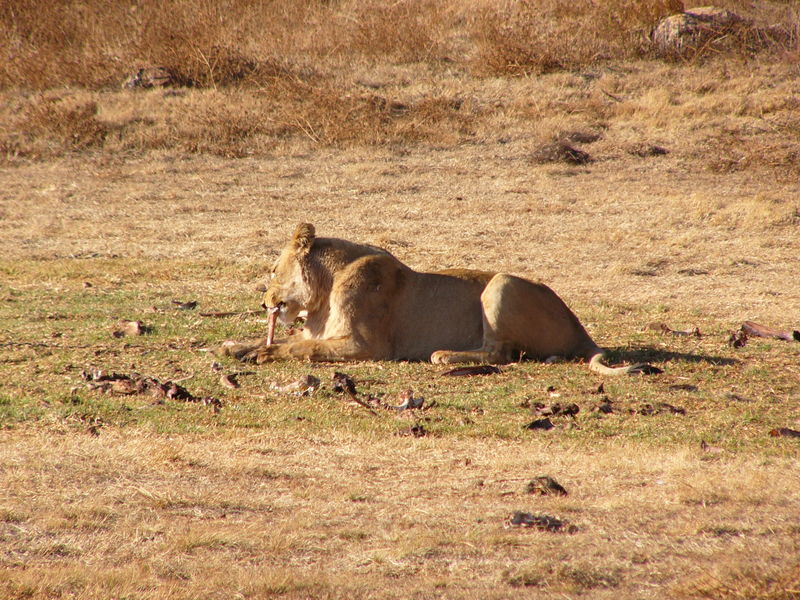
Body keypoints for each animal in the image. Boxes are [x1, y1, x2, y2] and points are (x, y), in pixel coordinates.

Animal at [222, 224, 660, 376]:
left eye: (273, 270)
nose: (263, 303)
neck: (325, 291)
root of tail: (580, 326)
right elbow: (290, 340)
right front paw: (233, 346)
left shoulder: (367, 346)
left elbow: (301, 348)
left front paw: (263, 353)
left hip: (501, 284)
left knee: (500, 352)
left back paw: (444, 355)